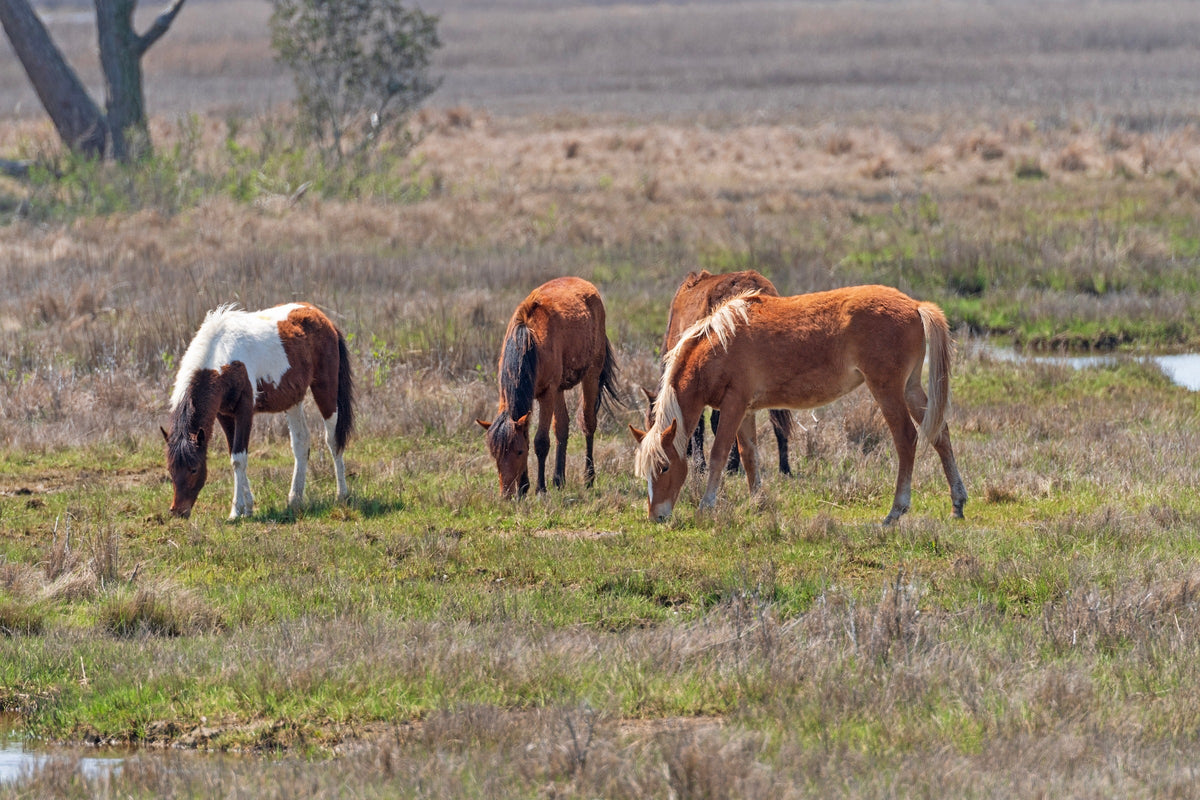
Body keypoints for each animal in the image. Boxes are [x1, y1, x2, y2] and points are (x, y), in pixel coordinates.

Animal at [161, 302, 354, 519]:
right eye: (171, 469)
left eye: (194, 469)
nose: (178, 511)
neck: (222, 359)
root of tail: (323, 318)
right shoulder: (224, 415)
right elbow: (234, 455)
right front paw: (247, 508)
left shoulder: (244, 412)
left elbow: (238, 458)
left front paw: (237, 511)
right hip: (293, 401)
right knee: (301, 443)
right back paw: (295, 500)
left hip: (325, 390)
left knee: (333, 440)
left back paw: (341, 495)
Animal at [477, 277, 620, 498]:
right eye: (495, 454)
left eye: (518, 452)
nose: (507, 495)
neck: (529, 340)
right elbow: (531, 435)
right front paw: (524, 488)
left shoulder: (547, 394)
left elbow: (540, 442)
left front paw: (540, 489)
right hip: (560, 389)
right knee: (562, 427)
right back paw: (559, 479)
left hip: (591, 376)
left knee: (588, 423)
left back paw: (588, 478)